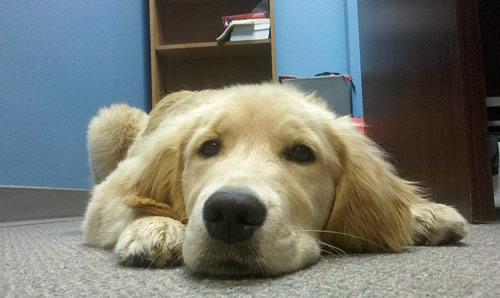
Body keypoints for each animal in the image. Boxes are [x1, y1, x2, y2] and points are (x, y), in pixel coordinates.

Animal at [80, 82, 466, 276]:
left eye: (301, 153)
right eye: (209, 147)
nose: (231, 213)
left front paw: (422, 212)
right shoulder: (109, 192)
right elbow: (133, 201)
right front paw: (155, 227)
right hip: (111, 122)